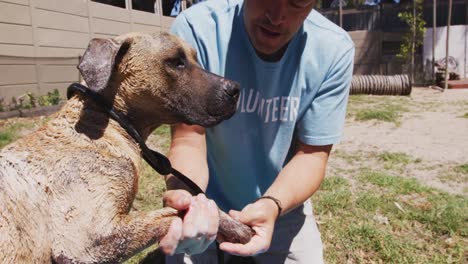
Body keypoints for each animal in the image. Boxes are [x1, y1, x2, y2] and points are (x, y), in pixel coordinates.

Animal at [0, 32, 239, 262]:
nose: (235, 89)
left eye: (194, 58)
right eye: (175, 62)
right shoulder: (86, 245)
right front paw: (233, 226)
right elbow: (177, 212)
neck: (102, 120)